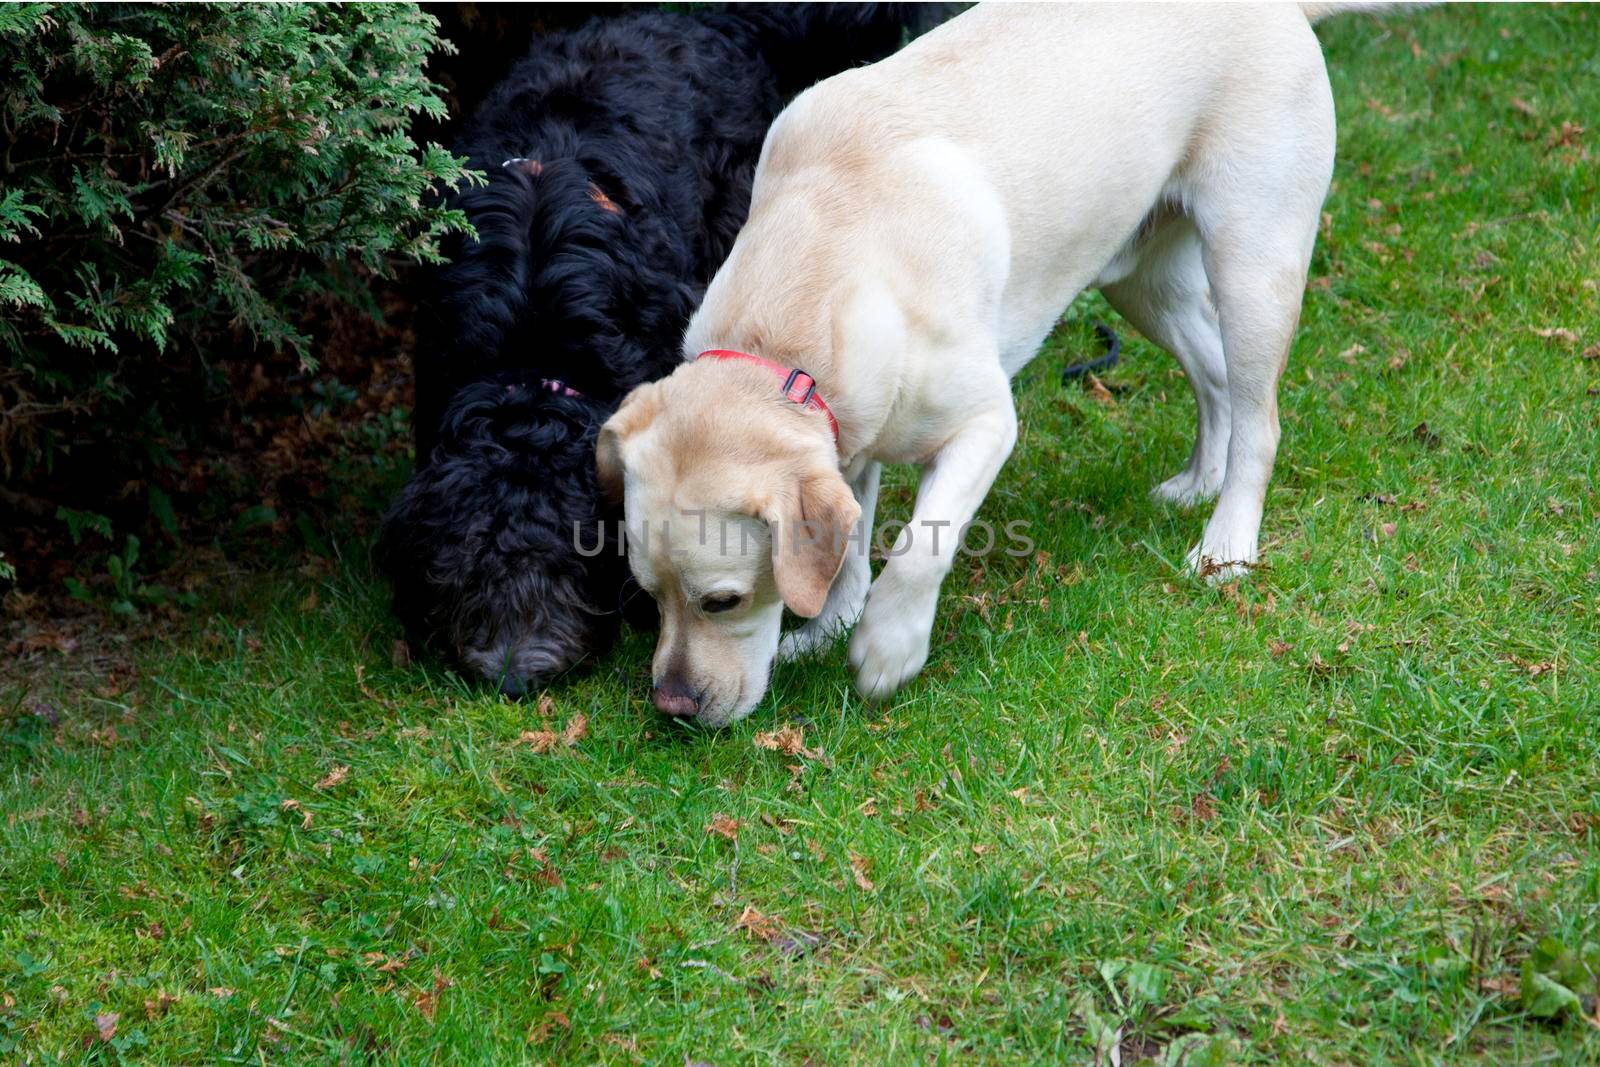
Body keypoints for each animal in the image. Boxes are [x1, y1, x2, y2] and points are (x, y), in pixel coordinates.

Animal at [601, 4, 1376, 726]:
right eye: (647, 593)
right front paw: (831, 626)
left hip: (1253, 268)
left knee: (1260, 421)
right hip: (1143, 281)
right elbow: (850, 545)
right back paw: (1198, 483)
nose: (671, 706)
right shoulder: (849, 435)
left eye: (721, 600)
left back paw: (1227, 544)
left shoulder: (984, 422)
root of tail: (1284, 9)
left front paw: (886, 646)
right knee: (1215, 382)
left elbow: (920, 544)